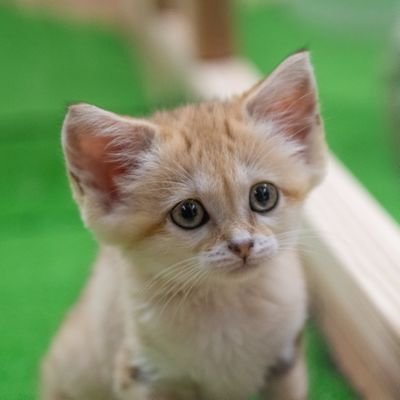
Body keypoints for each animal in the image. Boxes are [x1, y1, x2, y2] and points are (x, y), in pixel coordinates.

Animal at [42, 51, 326, 398]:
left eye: (263, 195)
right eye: (188, 213)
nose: (243, 245)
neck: (225, 307)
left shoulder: (286, 360)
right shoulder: (142, 374)